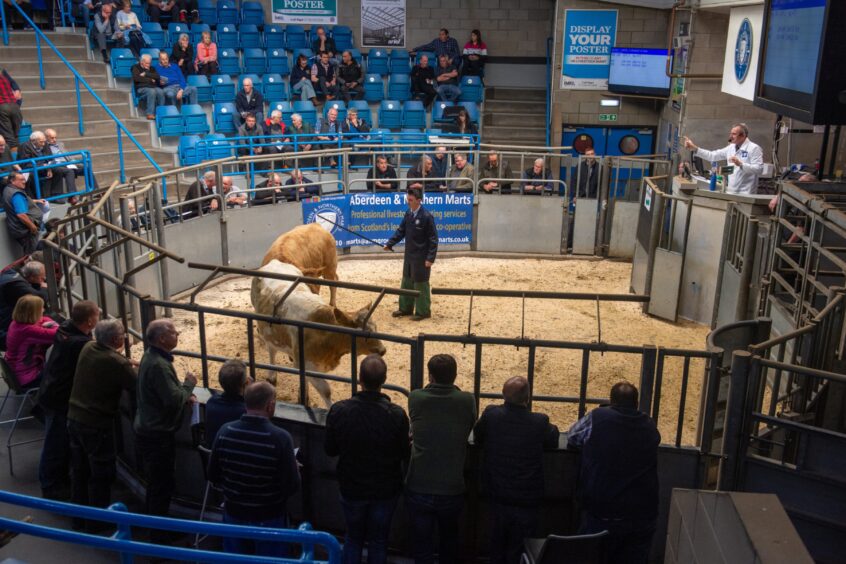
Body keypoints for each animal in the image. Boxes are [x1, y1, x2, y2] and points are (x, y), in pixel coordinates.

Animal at [250, 258, 386, 408]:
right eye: (363, 335)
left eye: (376, 327)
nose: (382, 350)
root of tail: (274, 262)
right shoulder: (308, 364)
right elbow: (326, 390)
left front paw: (304, 397)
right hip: (266, 329)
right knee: (271, 350)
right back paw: (272, 376)